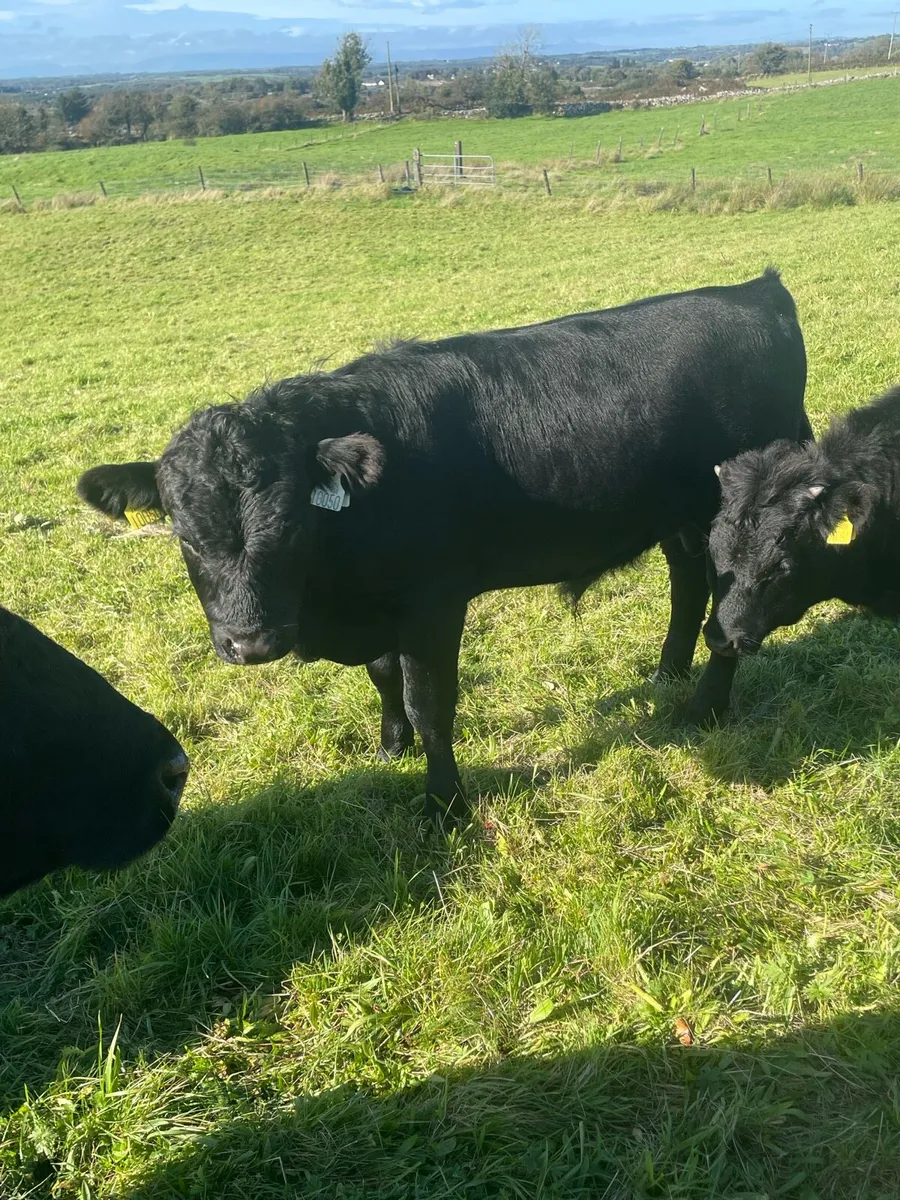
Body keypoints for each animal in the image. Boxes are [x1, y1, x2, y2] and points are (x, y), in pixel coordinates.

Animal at [77, 270, 808, 822]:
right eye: (185, 536)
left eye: (289, 526)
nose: (250, 642)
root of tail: (758, 291)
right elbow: (383, 679)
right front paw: (389, 748)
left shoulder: (432, 605)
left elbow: (431, 705)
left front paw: (443, 803)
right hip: (678, 517)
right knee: (688, 583)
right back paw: (667, 672)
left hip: (736, 518)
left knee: (729, 611)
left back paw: (703, 707)